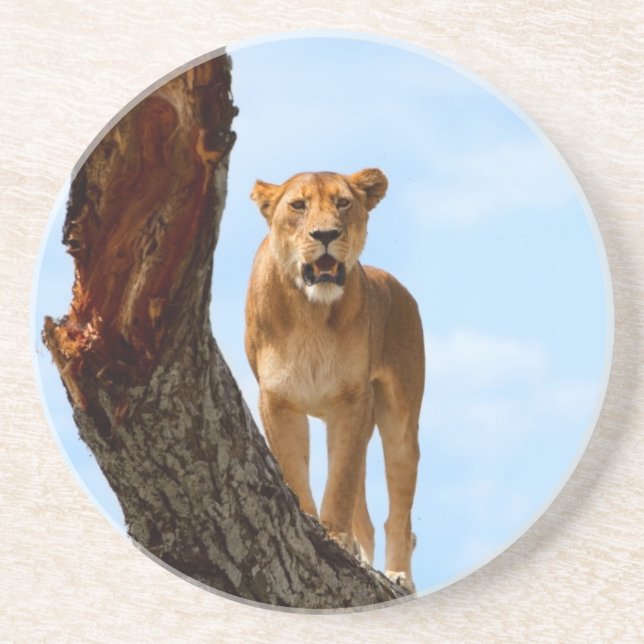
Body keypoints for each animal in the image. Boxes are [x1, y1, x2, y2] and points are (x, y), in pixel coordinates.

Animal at [244, 168, 424, 592]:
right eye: (298, 205)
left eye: (343, 203)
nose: (325, 234)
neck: (311, 312)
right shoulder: (277, 401)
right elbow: (294, 469)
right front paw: (311, 523)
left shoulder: (352, 401)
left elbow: (340, 481)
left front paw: (335, 537)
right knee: (369, 521)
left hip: (399, 419)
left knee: (399, 514)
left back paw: (398, 575)